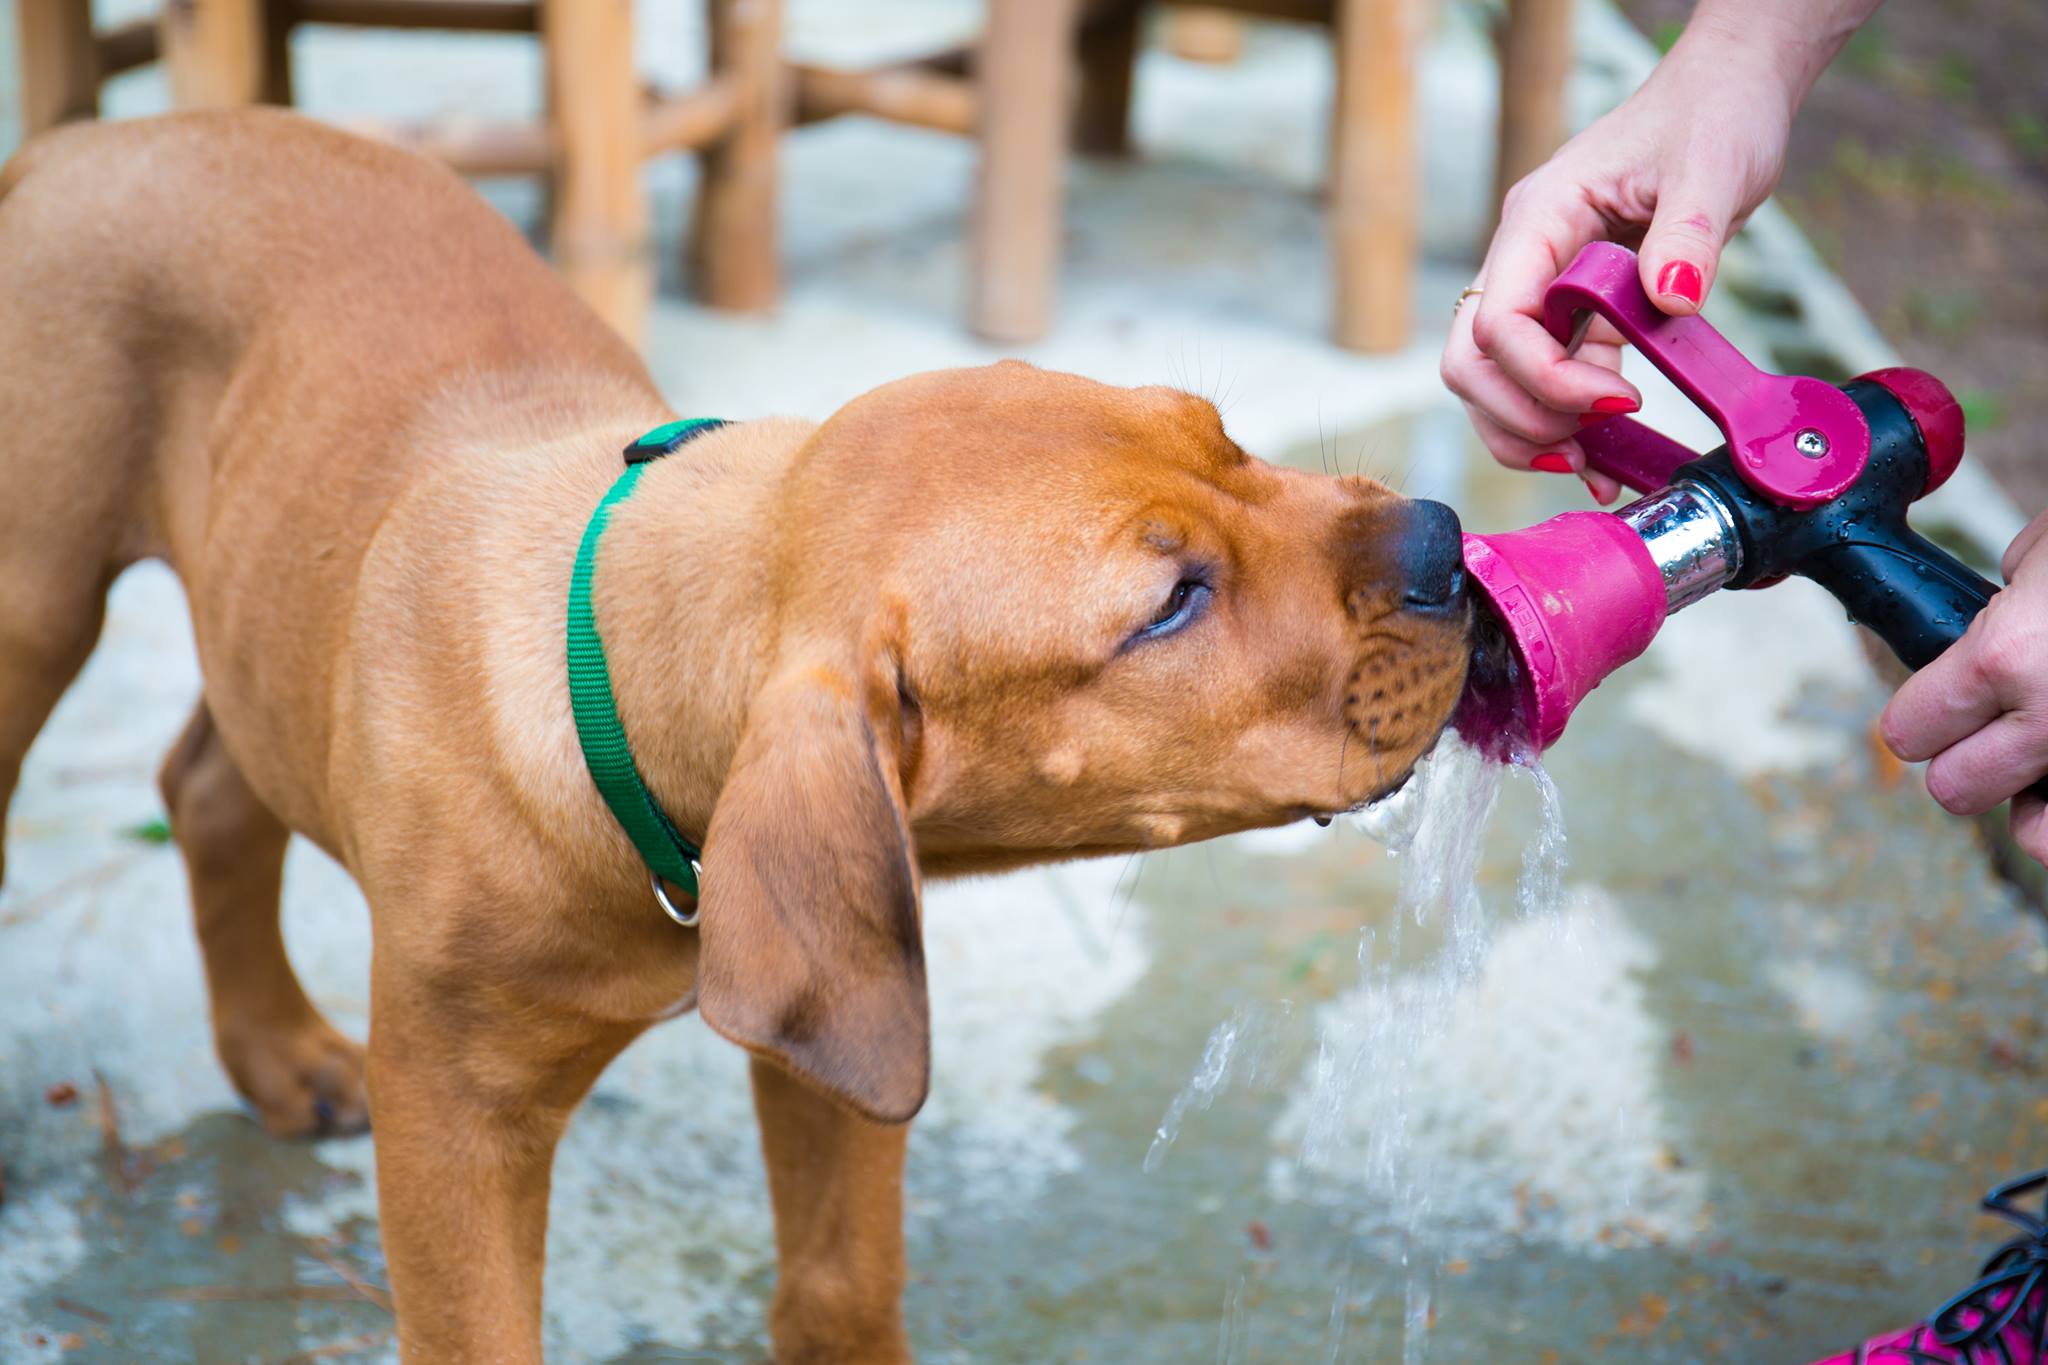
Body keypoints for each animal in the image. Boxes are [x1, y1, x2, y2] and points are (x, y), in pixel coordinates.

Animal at [0, 109, 1474, 1365]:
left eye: (1224, 436)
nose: (1444, 543)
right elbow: (479, 1329)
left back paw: (278, 1052)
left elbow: (839, 1288)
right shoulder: (456, 1125)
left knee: (209, 783)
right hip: (36, 606)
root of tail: (81, 142)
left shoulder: (841, 1019)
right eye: (1169, 603)